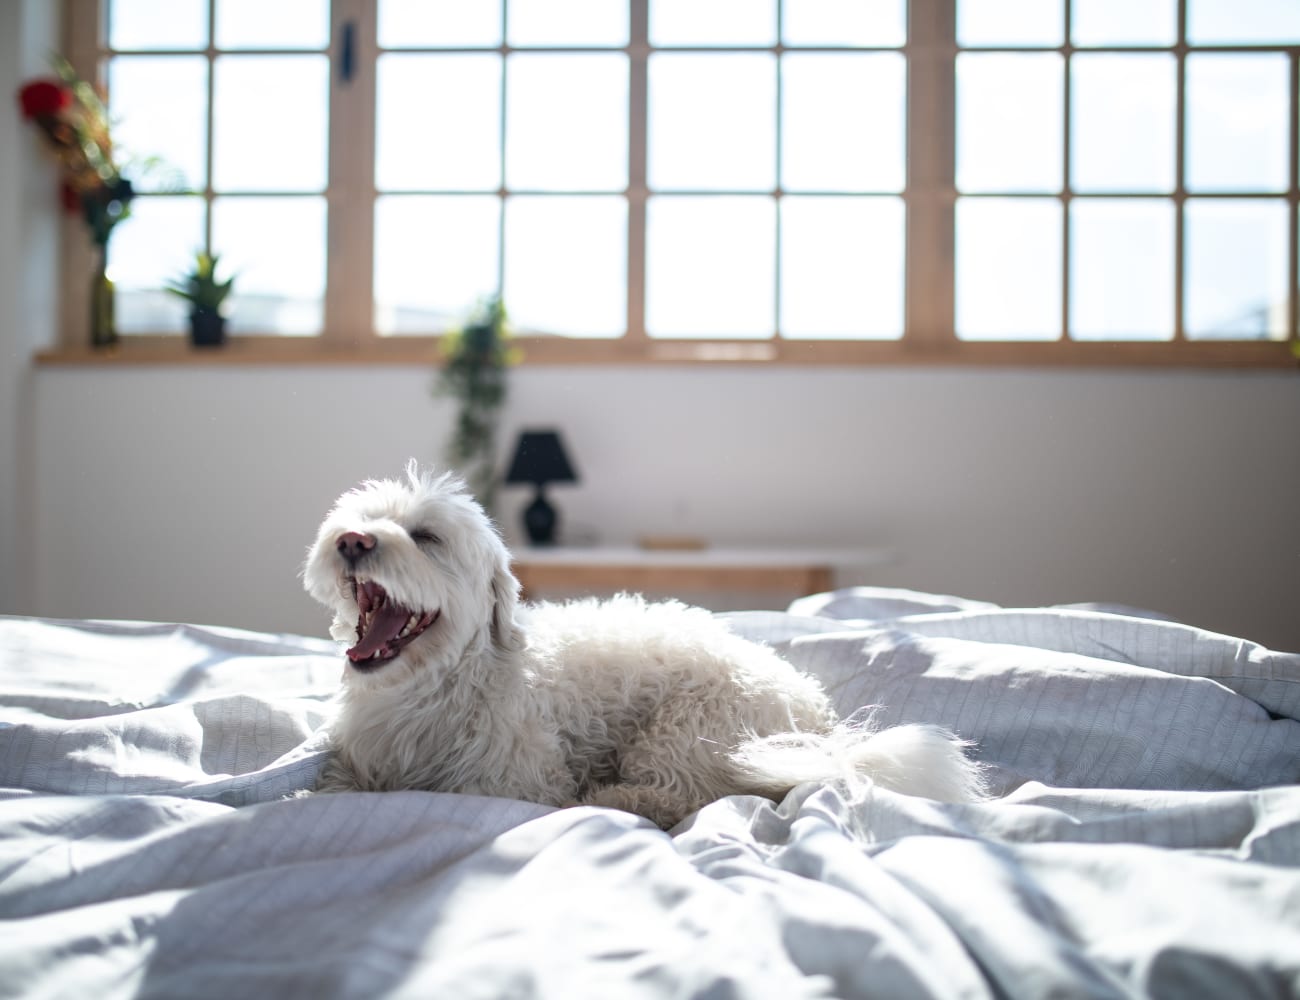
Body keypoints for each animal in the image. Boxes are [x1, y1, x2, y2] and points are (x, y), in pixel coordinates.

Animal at [301, 460, 982, 827]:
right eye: (361, 519)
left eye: (426, 537)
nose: (353, 540)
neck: (432, 687)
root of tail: (821, 721)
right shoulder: (355, 763)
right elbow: (331, 787)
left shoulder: (515, 782)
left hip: (686, 731)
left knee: (690, 796)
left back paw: (616, 799)